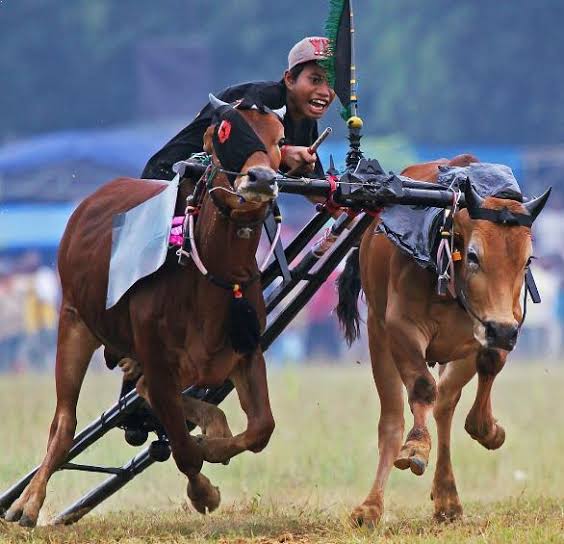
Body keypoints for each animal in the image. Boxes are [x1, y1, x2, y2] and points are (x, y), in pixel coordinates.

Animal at [3, 99, 286, 528]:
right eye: (226, 131)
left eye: (280, 139)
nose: (262, 178)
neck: (208, 276)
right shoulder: (155, 357)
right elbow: (184, 449)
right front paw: (203, 490)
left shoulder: (246, 349)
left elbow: (261, 429)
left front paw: (213, 444)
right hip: (73, 320)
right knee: (63, 424)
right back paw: (27, 503)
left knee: (145, 392)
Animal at [338, 154, 548, 528]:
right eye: (475, 255)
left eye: (528, 260)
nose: (501, 331)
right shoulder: (400, 328)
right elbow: (422, 389)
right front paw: (417, 447)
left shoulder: (500, 325)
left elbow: (486, 368)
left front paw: (489, 430)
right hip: (378, 333)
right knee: (393, 419)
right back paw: (371, 506)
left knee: (445, 405)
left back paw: (448, 497)